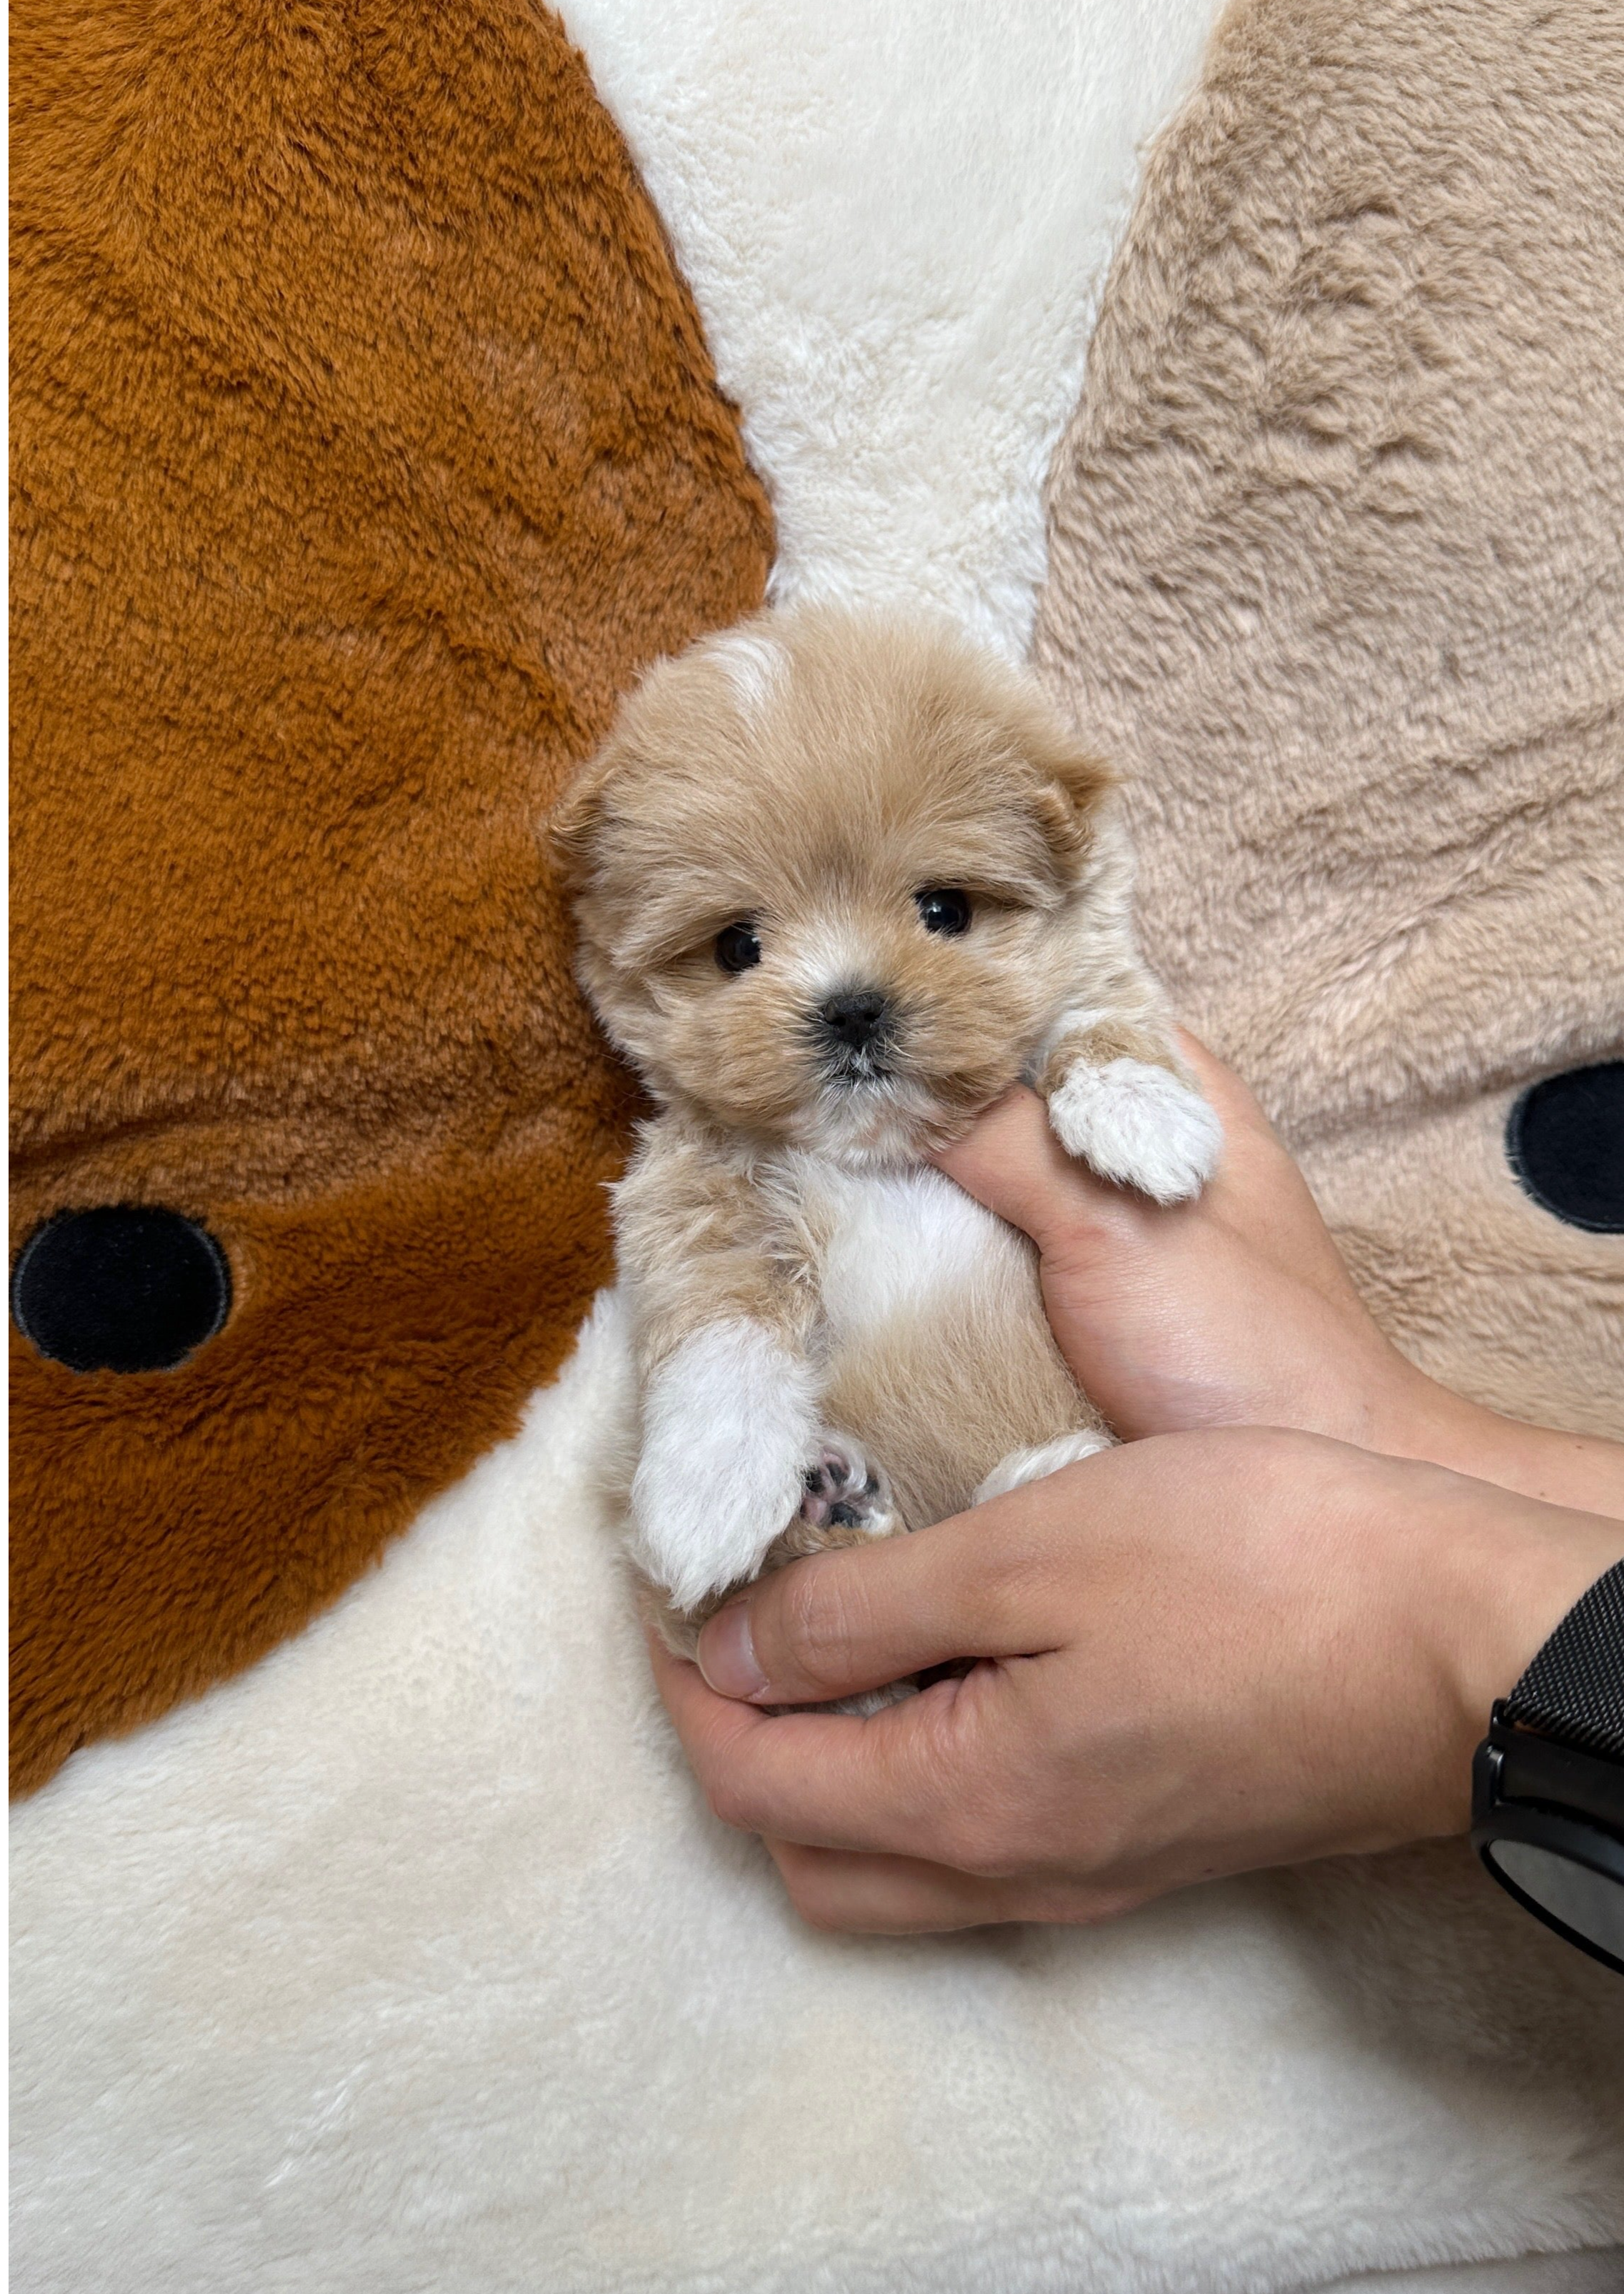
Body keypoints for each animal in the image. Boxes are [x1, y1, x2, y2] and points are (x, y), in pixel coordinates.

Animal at [548, 610, 1220, 1651]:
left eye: (944, 909)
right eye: (736, 947)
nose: (852, 1007)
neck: (872, 1152)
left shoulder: (1095, 971)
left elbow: (1103, 1007)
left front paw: (1139, 1113)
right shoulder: (697, 1190)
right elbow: (718, 1336)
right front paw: (708, 1490)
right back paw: (847, 1499)